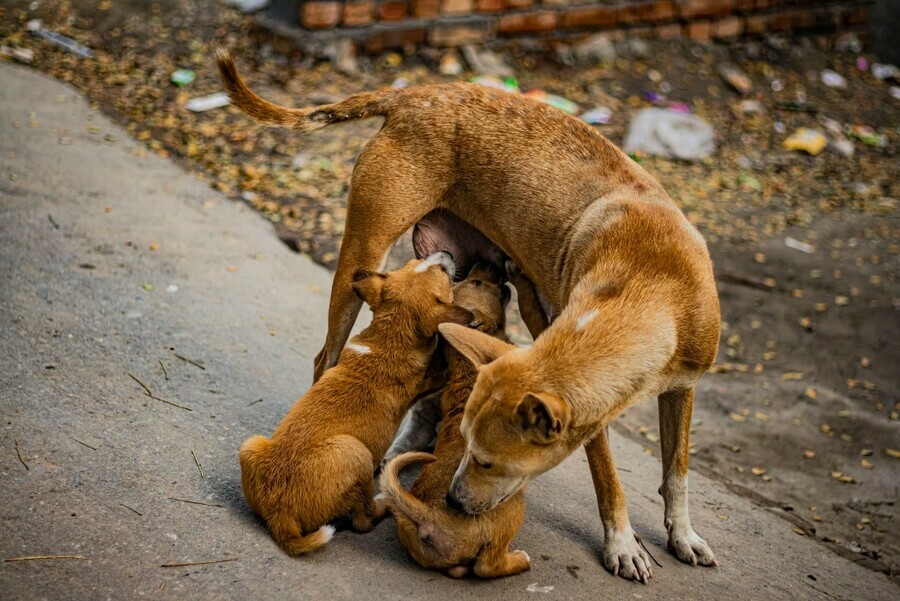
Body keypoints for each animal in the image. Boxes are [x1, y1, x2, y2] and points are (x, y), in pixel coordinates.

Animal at [239, 252, 478, 552]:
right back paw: (383, 502)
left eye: (412, 264)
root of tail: (279, 516)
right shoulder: (433, 380)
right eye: (444, 273)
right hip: (356, 452)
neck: (388, 336)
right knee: (363, 521)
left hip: (250, 445)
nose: (446, 253)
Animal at [378, 262, 528, 576]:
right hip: (510, 508)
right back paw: (519, 560)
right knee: (487, 566)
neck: (464, 366)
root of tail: (427, 516)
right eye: (478, 283)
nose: (486, 263)